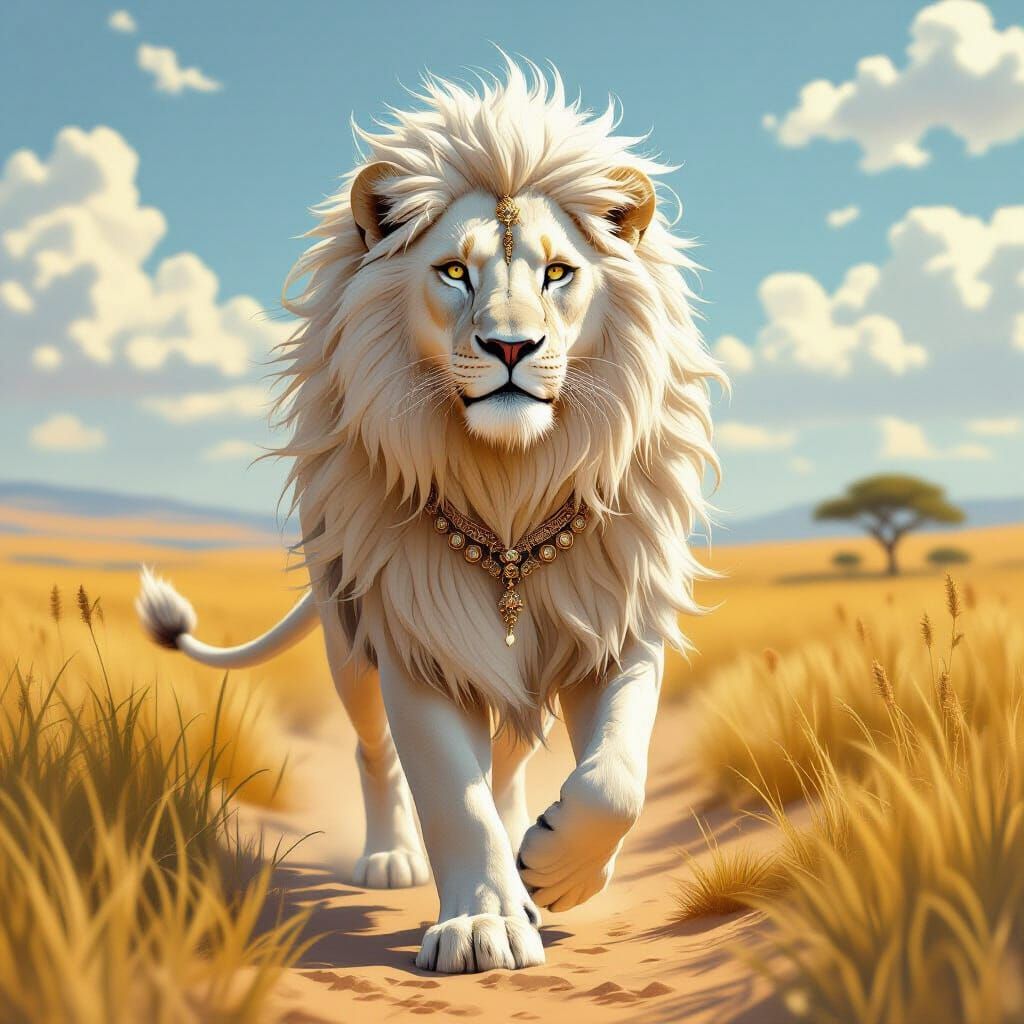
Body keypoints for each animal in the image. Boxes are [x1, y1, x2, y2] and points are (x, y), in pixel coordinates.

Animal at [137, 59, 722, 974]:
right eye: (454, 272)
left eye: (558, 273)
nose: (512, 348)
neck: (510, 491)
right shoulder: (417, 633)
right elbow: (452, 792)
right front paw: (482, 925)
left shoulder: (616, 622)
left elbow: (614, 780)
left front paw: (556, 871)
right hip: (350, 647)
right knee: (375, 751)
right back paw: (392, 857)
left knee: (513, 762)